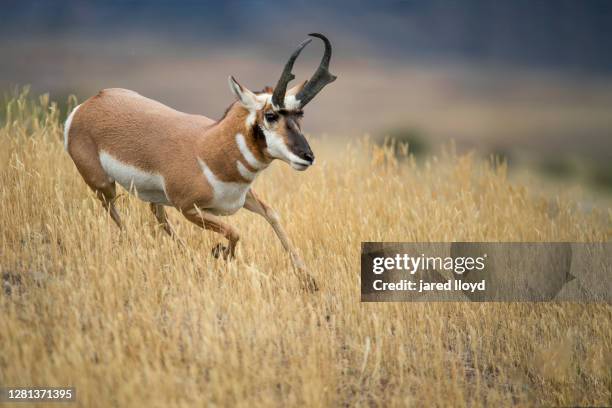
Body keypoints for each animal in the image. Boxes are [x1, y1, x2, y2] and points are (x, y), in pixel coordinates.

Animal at [64, 33, 338, 288]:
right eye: (270, 115)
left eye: (299, 114)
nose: (307, 157)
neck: (208, 148)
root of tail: (87, 105)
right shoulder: (190, 210)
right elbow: (235, 232)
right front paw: (220, 253)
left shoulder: (243, 200)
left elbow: (272, 215)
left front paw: (310, 280)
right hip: (103, 185)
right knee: (115, 212)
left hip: (154, 196)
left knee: (157, 214)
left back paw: (187, 257)